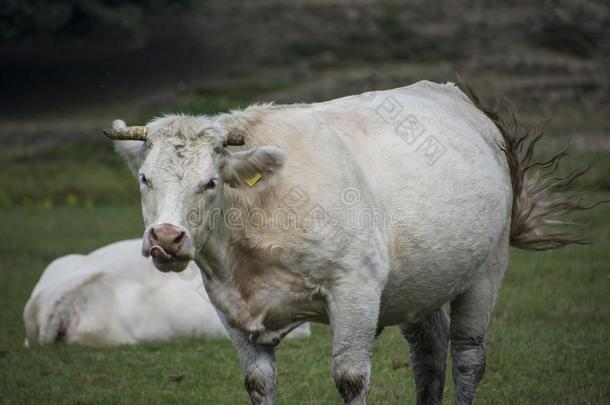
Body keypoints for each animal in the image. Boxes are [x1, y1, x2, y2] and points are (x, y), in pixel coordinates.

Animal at [105, 80, 588, 402]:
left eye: (210, 182)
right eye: (145, 178)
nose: (167, 238)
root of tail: (459, 98)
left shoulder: (355, 290)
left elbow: (350, 378)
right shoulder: (231, 309)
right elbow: (259, 382)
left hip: (486, 270)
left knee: (468, 356)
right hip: (419, 282)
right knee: (429, 352)